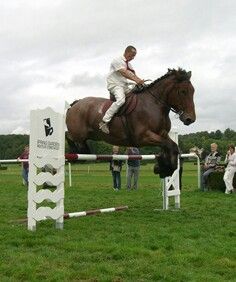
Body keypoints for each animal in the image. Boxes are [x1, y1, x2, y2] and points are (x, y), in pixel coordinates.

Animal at [66, 68, 195, 177]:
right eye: (183, 91)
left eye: (193, 91)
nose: (190, 119)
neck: (155, 105)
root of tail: (75, 104)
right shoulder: (143, 137)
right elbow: (170, 145)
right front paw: (165, 168)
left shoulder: (163, 134)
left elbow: (173, 147)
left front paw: (164, 168)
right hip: (78, 133)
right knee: (68, 136)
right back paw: (76, 153)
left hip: (93, 135)